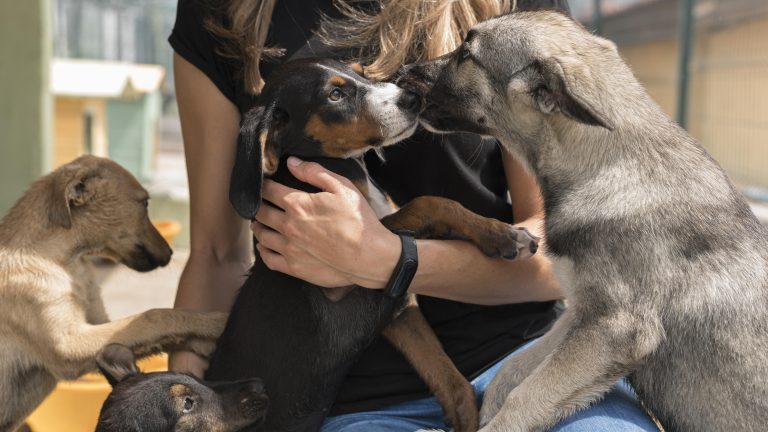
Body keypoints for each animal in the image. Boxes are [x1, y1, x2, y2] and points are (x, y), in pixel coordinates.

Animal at [0, 156, 228, 432]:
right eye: (145, 203)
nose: (171, 253)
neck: (64, 262)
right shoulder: (68, 344)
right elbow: (155, 316)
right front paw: (217, 321)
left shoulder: (98, 325)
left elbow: (159, 332)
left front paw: (204, 341)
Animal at [400, 8, 768, 432]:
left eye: (466, 54)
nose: (403, 72)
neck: (608, 164)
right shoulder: (578, 314)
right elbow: (512, 373)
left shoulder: (611, 328)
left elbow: (526, 395)